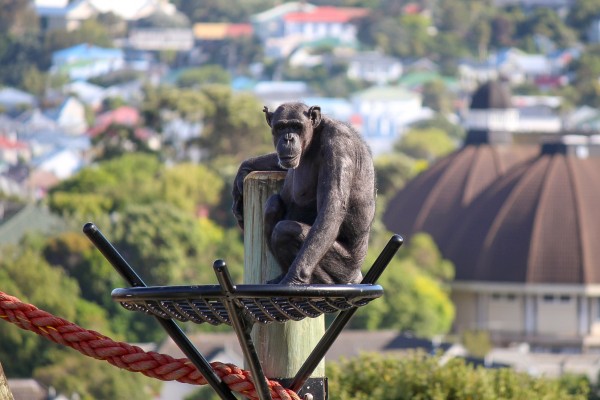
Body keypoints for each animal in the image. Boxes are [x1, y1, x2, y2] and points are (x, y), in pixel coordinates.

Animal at [232, 102, 372, 284]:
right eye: (281, 127)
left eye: (297, 126)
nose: (288, 138)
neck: (314, 136)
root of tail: (356, 275)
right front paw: (243, 172)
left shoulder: (338, 145)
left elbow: (331, 209)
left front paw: (294, 279)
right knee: (272, 206)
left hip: (345, 267)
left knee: (286, 231)